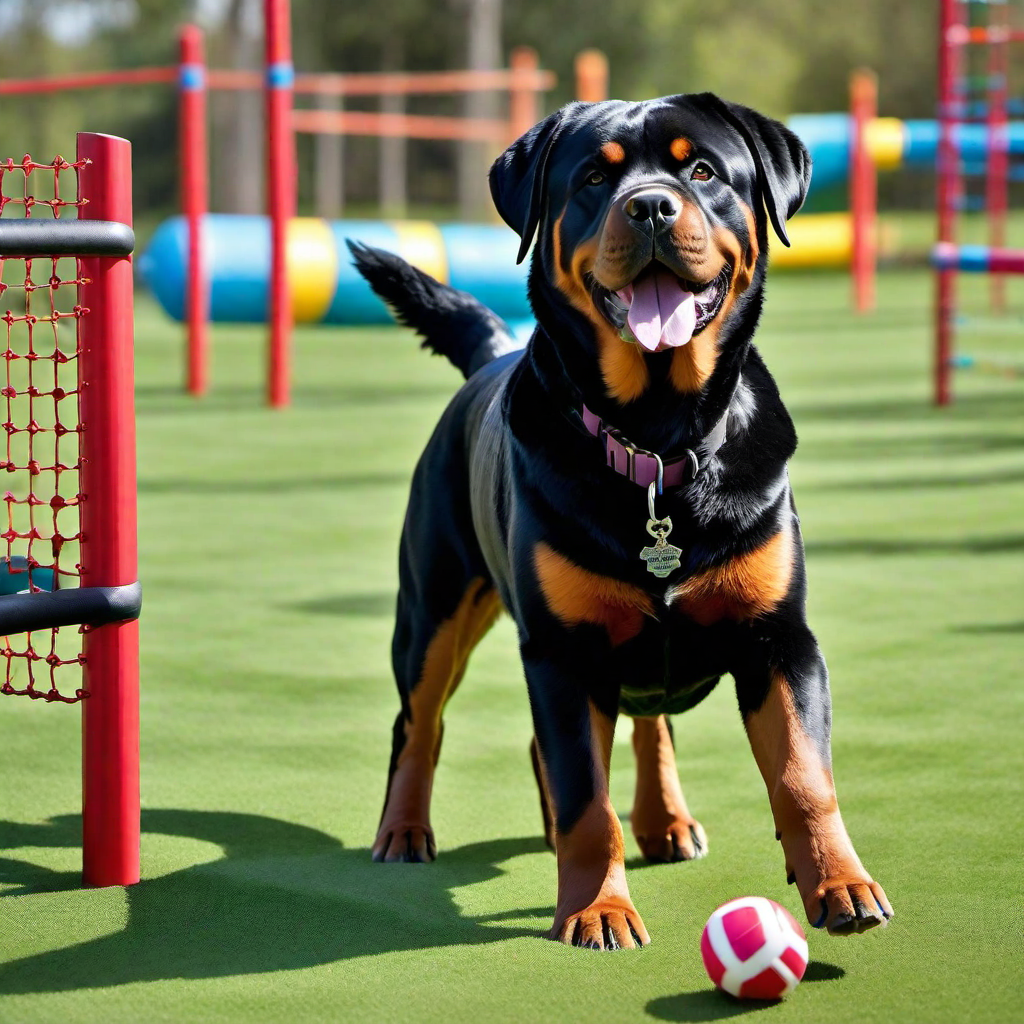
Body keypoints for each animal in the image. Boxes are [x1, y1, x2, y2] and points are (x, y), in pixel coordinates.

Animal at [350, 92, 888, 946]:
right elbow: (586, 798)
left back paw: (666, 823)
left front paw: (842, 886)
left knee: (645, 726)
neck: (660, 445)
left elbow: (805, 776)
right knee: (421, 722)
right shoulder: (564, 651)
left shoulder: (781, 638)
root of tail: (493, 354)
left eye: (702, 170)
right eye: (594, 180)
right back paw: (404, 831)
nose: (650, 205)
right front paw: (598, 909)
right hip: (434, 602)